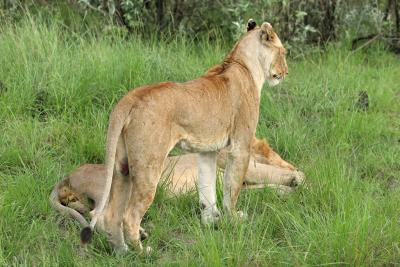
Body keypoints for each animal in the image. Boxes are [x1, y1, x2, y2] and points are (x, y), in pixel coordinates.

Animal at [50, 137, 304, 236]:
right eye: (277, 154)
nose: (290, 162)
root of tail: (69, 175)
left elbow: (261, 188)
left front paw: (286, 189)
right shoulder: (244, 167)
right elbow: (271, 173)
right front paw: (297, 178)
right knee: (100, 214)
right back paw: (139, 235)